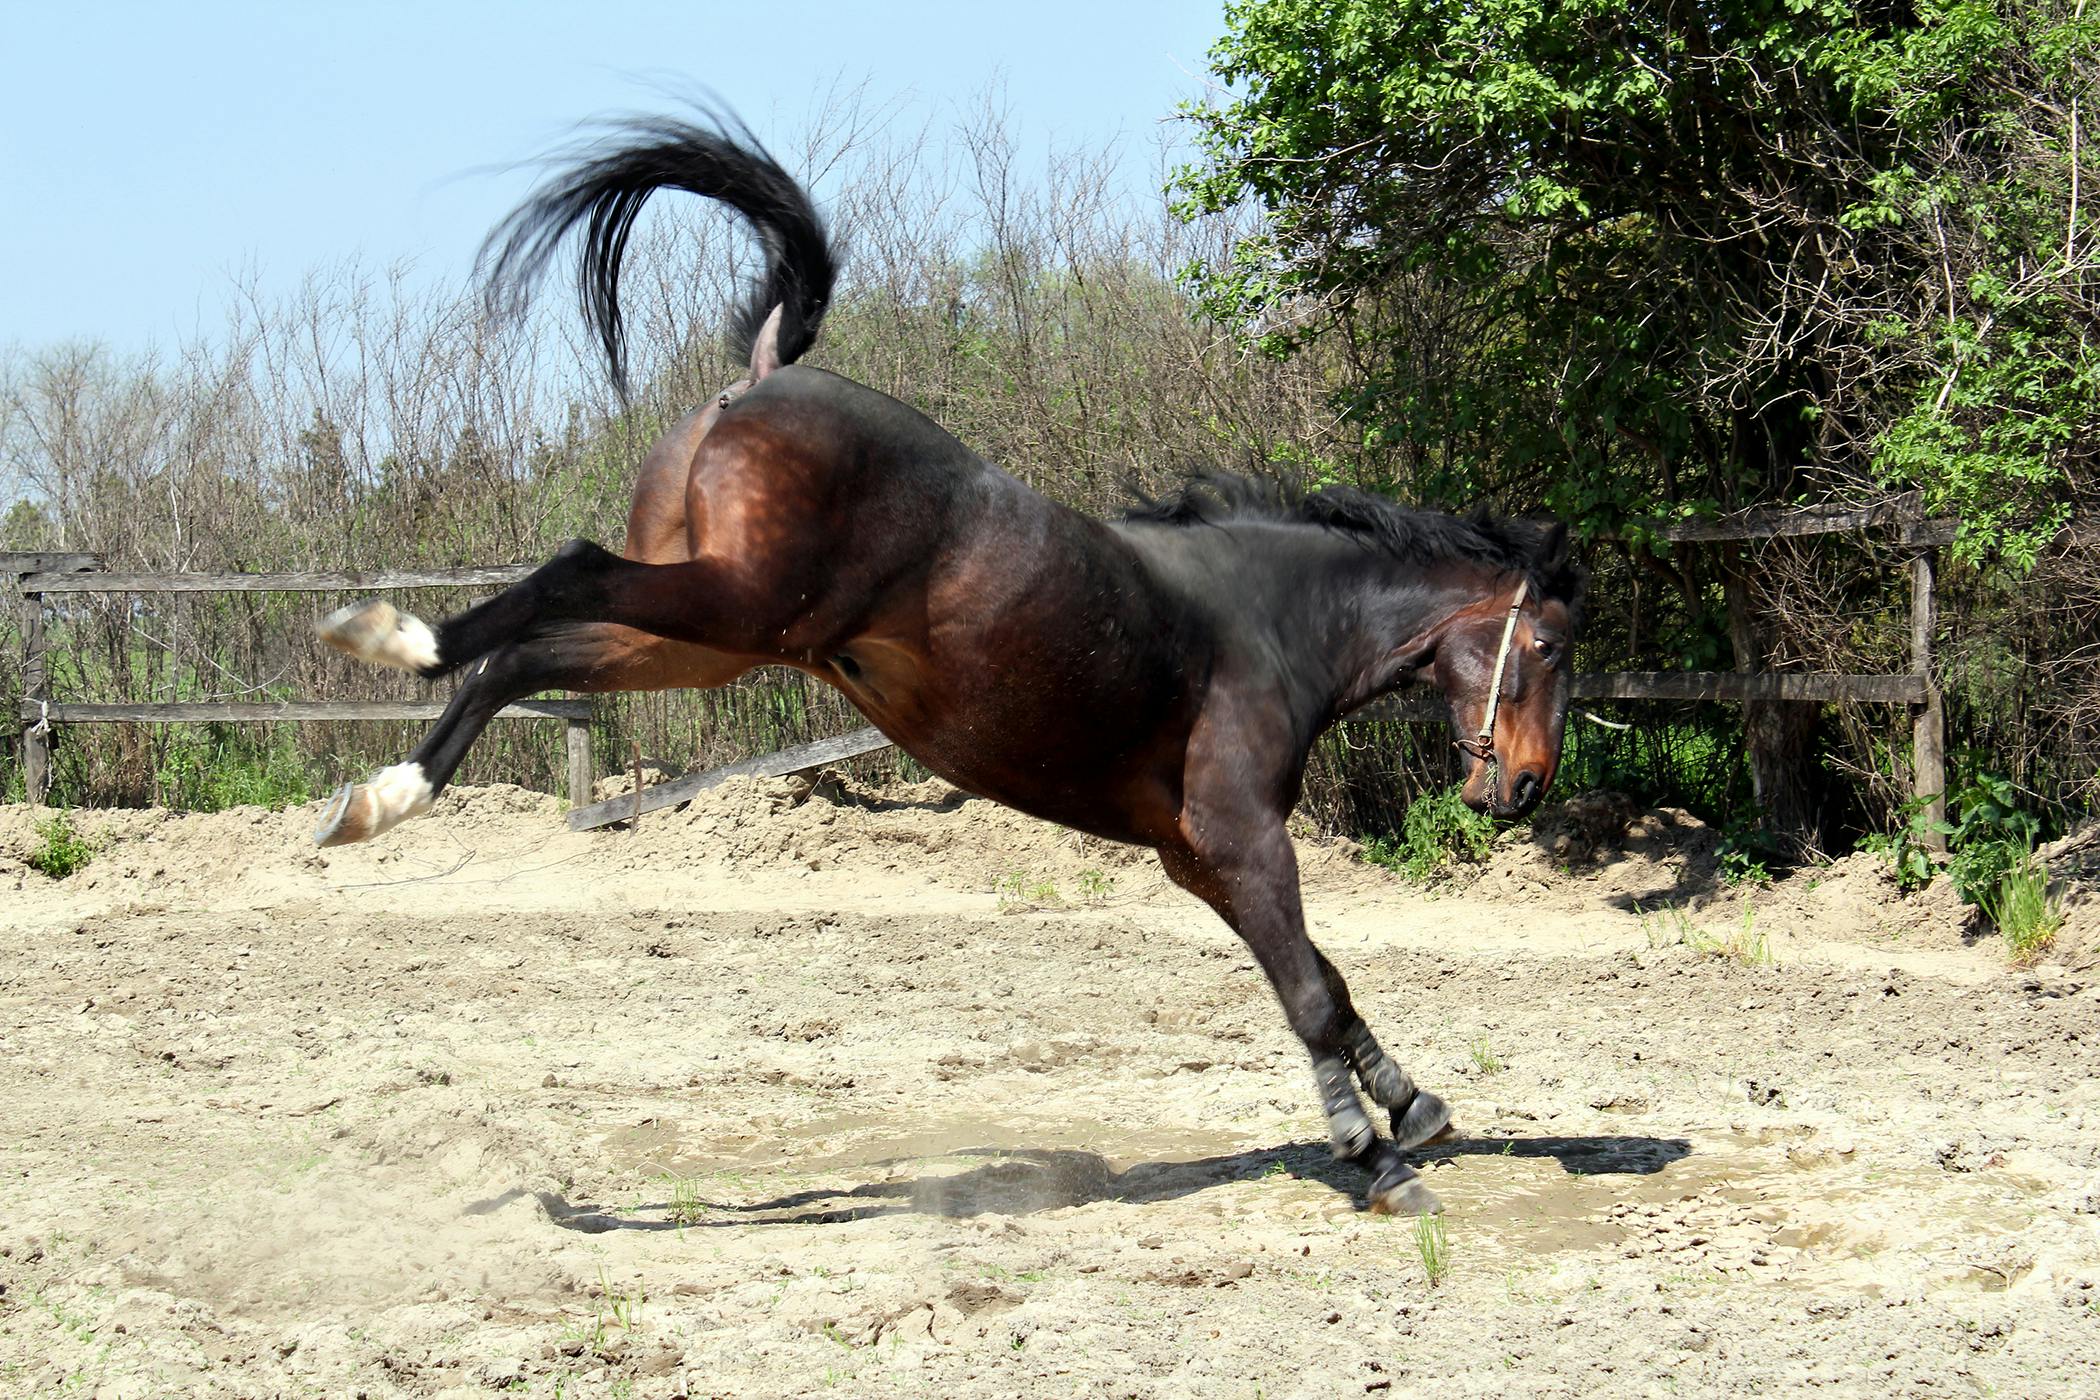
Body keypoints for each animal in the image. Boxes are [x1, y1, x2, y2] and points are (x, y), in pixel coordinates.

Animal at [310, 109, 1579, 1217]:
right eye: (1552, 644)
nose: (1524, 787)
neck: (1262, 622)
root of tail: (761, 375)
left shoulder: (1200, 860)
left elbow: (1325, 980)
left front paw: (1412, 1105)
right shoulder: (1241, 839)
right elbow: (1310, 988)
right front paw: (1381, 1157)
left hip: (701, 636)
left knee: (524, 658)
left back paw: (380, 797)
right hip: (729, 604)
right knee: (558, 579)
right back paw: (391, 642)